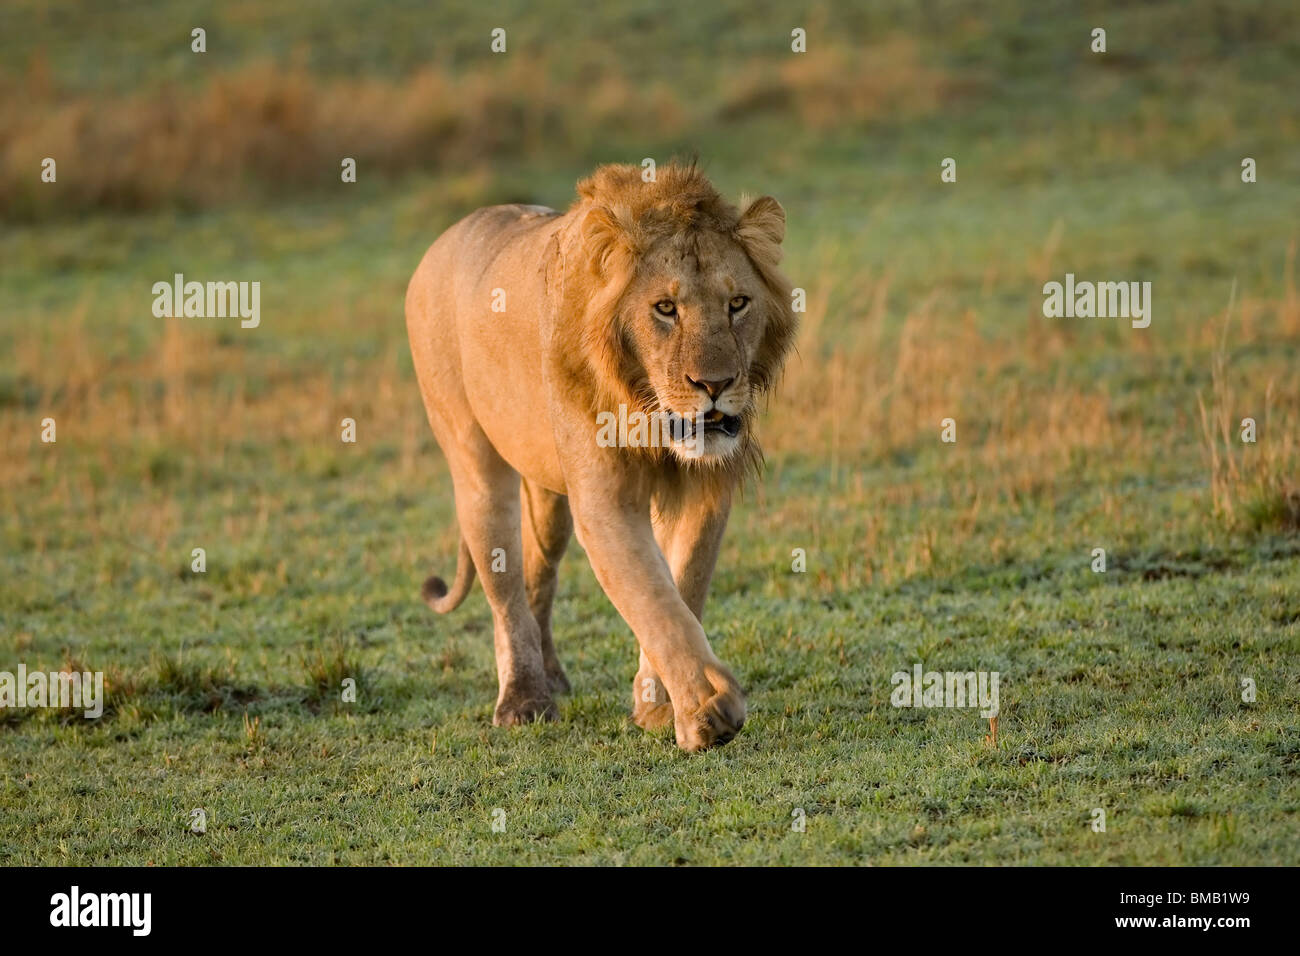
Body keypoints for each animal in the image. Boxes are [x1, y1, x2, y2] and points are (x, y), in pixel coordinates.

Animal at [404, 162, 796, 751]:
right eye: (665, 309)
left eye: (737, 304)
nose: (715, 385)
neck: (647, 409)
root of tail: (445, 237)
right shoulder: (605, 501)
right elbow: (654, 599)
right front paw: (708, 709)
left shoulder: (705, 492)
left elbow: (682, 586)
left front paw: (658, 704)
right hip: (474, 463)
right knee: (505, 590)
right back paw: (524, 700)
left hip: (548, 498)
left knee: (537, 574)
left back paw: (552, 678)